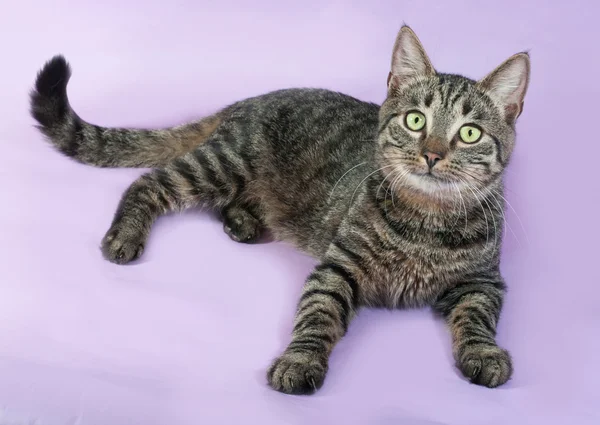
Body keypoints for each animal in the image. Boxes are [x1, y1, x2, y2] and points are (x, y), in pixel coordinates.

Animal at [30, 26, 528, 394]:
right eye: (415, 120)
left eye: (469, 133)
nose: (432, 154)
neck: (426, 219)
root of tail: (243, 103)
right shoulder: (337, 267)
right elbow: (318, 314)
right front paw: (300, 360)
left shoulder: (484, 280)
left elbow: (478, 317)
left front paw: (483, 353)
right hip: (223, 164)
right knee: (150, 182)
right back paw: (127, 234)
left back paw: (243, 222)